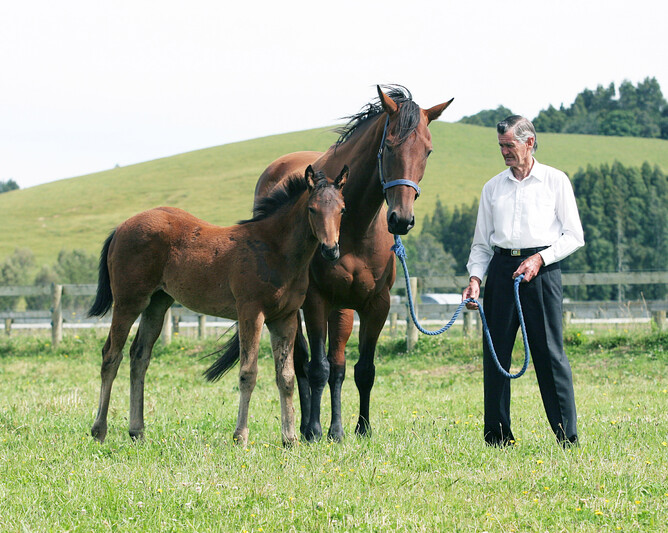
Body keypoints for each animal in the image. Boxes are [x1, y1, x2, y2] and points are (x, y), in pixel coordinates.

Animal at [87, 165, 348, 446]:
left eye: (342, 209)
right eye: (312, 209)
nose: (330, 250)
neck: (275, 250)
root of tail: (121, 227)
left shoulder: (285, 318)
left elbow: (286, 376)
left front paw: (289, 439)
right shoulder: (251, 312)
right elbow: (248, 373)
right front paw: (240, 436)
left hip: (157, 304)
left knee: (139, 356)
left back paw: (137, 431)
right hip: (129, 301)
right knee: (111, 355)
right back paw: (99, 430)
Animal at [206, 85, 453, 441]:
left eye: (428, 151)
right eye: (389, 145)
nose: (402, 219)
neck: (356, 227)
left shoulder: (376, 304)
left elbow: (362, 369)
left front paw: (361, 428)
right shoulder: (314, 302)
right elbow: (316, 368)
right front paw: (312, 429)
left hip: (342, 308)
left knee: (336, 364)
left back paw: (336, 429)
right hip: (293, 309)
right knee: (301, 363)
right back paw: (305, 425)